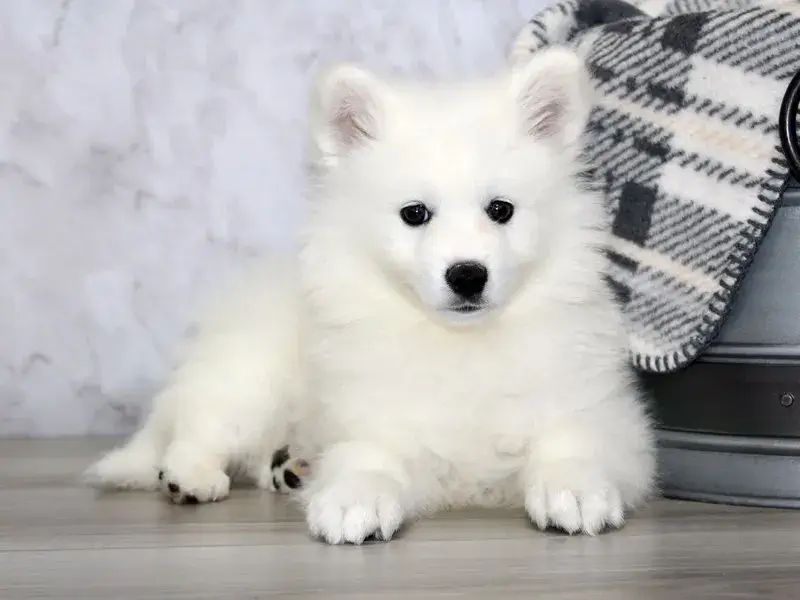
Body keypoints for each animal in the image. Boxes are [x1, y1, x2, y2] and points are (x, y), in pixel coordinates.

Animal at [86, 48, 656, 544]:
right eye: (414, 214)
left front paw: (574, 488)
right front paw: (353, 499)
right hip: (248, 378)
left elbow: (572, 441)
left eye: (501, 210)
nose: (467, 275)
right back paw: (192, 476)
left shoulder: (597, 410)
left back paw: (289, 467)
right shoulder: (372, 414)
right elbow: (370, 457)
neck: (461, 343)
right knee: (200, 426)